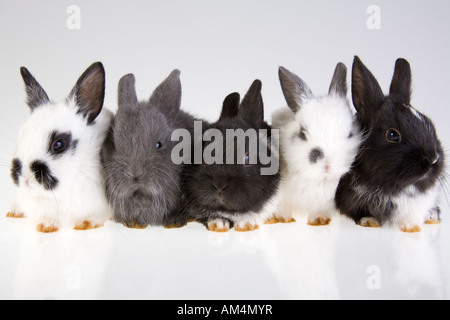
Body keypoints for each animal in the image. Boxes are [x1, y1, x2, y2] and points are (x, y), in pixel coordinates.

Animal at [270, 63, 362, 226]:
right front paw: (281, 218)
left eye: (350, 134)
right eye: (302, 133)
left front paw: (320, 220)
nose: (327, 164)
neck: (316, 179)